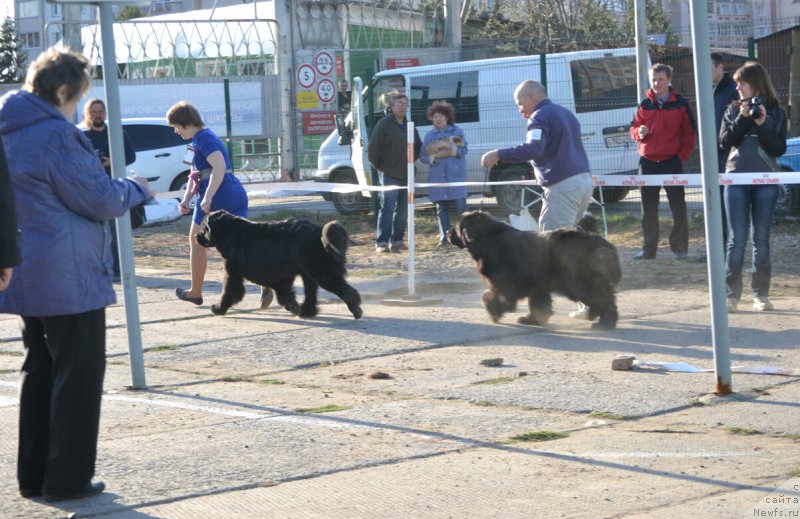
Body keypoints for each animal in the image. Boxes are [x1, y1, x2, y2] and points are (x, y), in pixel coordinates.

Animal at [196, 209, 362, 318]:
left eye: (204, 228)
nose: (196, 236)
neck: (228, 233)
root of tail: (318, 231)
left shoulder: (233, 274)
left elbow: (229, 292)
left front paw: (217, 309)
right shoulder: (280, 277)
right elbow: (284, 294)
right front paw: (292, 307)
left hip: (321, 272)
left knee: (345, 290)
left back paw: (355, 310)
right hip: (309, 272)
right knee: (310, 293)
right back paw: (306, 312)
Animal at [446, 210, 620, 330]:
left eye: (457, 226)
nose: (447, 232)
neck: (488, 240)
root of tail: (598, 243)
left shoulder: (504, 283)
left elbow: (490, 295)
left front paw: (495, 311)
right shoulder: (537, 286)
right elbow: (538, 304)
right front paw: (533, 319)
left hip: (577, 283)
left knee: (602, 299)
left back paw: (604, 323)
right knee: (605, 298)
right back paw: (598, 318)